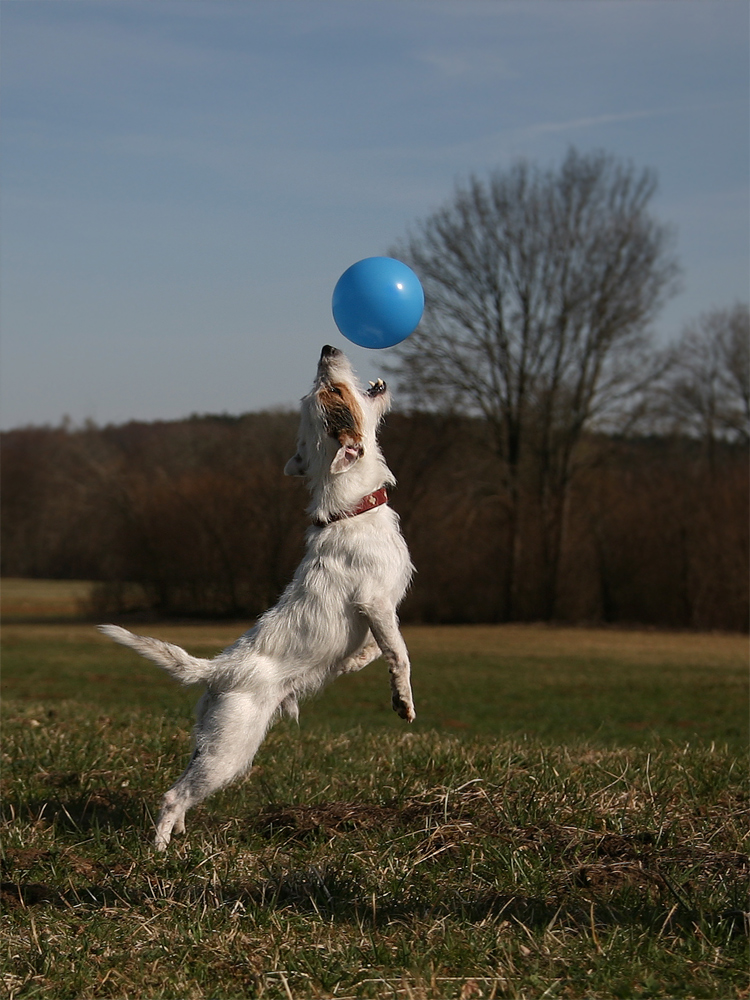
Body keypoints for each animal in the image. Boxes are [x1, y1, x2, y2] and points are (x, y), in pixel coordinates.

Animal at [98, 348, 418, 848]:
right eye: (332, 393)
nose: (327, 350)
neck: (350, 509)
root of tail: (217, 670)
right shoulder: (377, 603)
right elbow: (400, 654)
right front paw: (402, 701)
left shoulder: (379, 614)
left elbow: (376, 647)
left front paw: (354, 661)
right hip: (232, 748)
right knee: (172, 796)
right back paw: (160, 850)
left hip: (209, 742)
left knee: (184, 789)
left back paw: (182, 835)